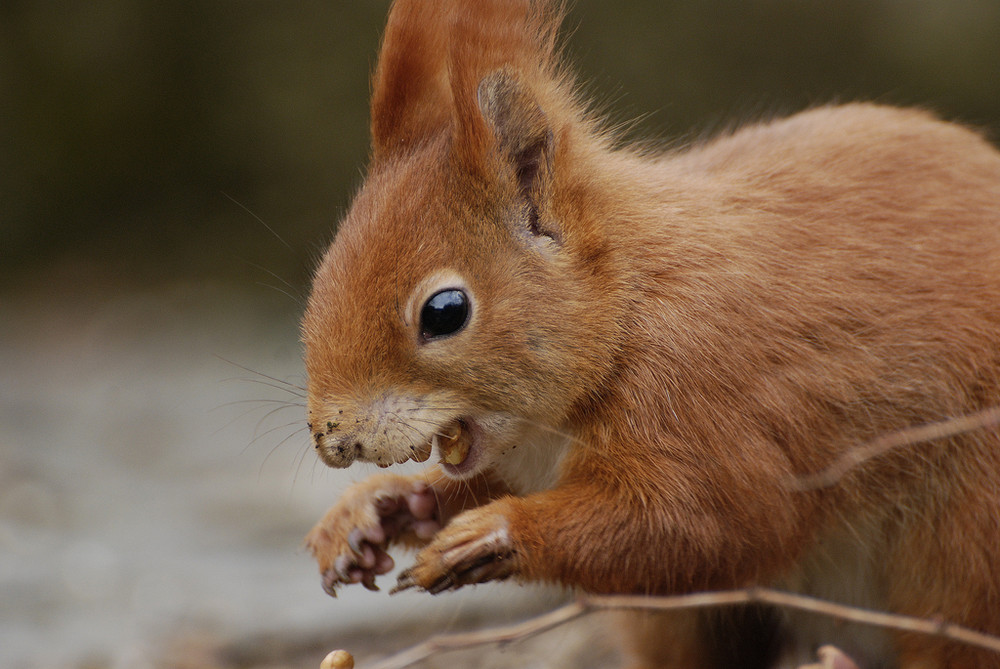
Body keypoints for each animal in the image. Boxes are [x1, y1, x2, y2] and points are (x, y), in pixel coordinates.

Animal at [302, 2, 1000, 664]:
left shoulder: (706, 397)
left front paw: (497, 533)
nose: (334, 440)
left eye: (445, 311)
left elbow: (705, 524)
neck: (625, 309)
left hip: (966, 538)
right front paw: (377, 509)